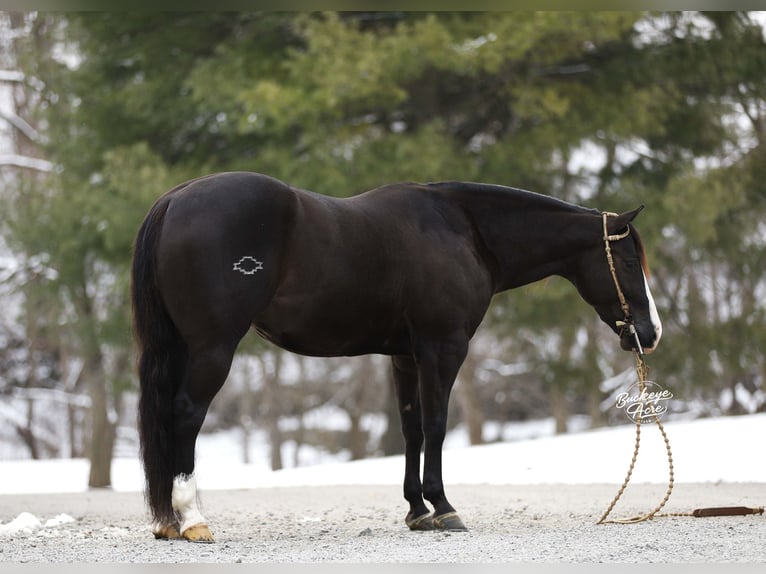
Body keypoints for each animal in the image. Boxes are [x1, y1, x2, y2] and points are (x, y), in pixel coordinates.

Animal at [131, 171, 662, 542]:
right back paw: (192, 520)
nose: (649, 333)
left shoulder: (405, 356)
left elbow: (411, 428)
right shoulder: (443, 348)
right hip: (213, 348)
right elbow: (437, 424)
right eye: (627, 261)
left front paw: (417, 511)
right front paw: (444, 508)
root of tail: (174, 200)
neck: (465, 230)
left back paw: (167, 523)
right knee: (186, 415)